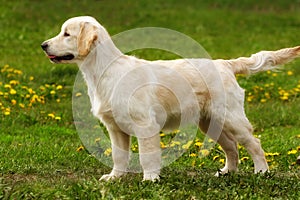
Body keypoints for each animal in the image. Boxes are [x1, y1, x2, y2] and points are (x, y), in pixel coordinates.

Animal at [42, 15, 300, 181]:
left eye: (67, 34)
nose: (43, 45)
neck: (103, 70)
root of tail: (225, 64)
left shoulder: (145, 124)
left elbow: (147, 157)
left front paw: (150, 180)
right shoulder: (115, 128)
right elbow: (118, 155)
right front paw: (114, 177)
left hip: (231, 117)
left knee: (253, 143)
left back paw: (262, 172)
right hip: (210, 122)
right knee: (231, 146)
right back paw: (227, 172)